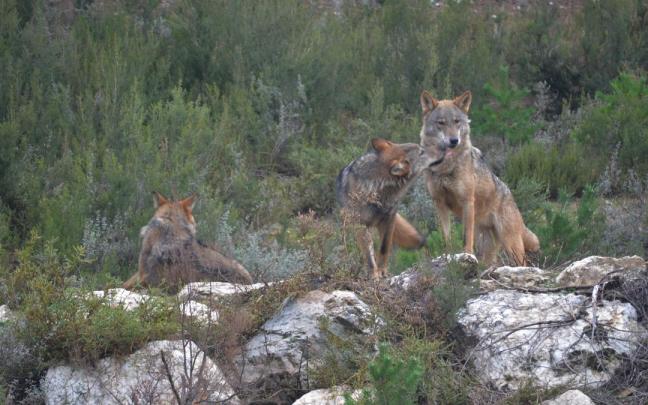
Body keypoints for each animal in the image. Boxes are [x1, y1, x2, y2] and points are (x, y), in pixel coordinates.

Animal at [336, 138, 444, 279]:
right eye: (421, 152)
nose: (444, 147)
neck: (377, 189)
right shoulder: (360, 225)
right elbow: (368, 255)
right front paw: (374, 274)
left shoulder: (389, 220)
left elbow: (384, 248)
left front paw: (382, 270)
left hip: (411, 236)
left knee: (424, 244)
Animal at [419, 90, 540, 266]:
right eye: (441, 123)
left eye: (457, 122)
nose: (454, 140)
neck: (445, 167)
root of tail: (510, 196)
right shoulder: (439, 203)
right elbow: (446, 237)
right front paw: (447, 257)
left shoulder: (467, 201)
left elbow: (466, 236)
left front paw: (467, 256)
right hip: (490, 250)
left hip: (511, 245)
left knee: (523, 263)